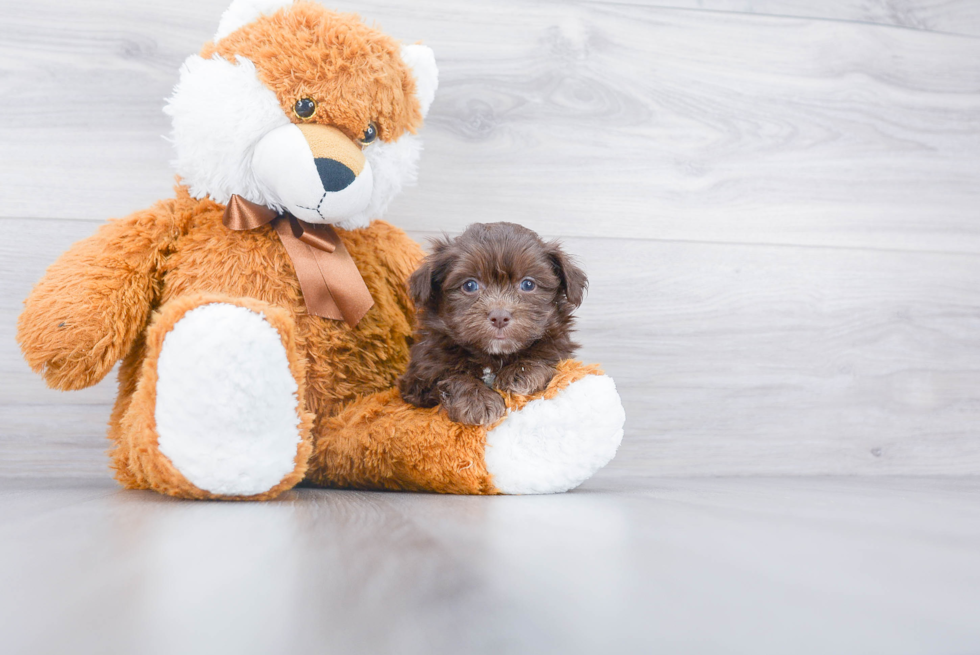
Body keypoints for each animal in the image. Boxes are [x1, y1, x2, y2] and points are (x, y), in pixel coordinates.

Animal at [396, 223, 584, 428]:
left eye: (528, 284)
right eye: (469, 285)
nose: (499, 317)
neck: (493, 355)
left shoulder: (559, 347)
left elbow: (546, 352)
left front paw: (522, 371)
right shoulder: (418, 377)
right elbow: (450, 375)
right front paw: (478, 400)